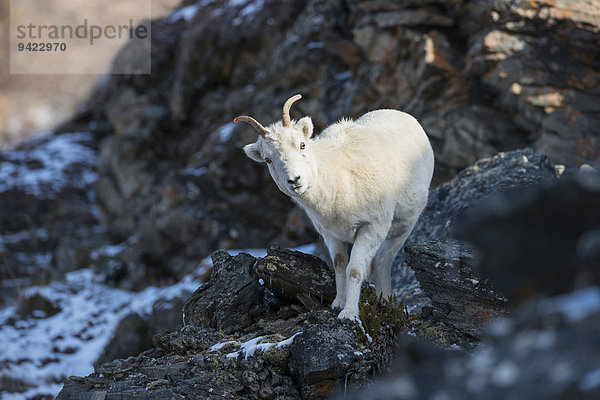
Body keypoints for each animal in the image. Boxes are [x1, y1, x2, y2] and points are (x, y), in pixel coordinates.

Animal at [233, 94, 432, 322]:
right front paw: (338, 304)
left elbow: (354, 270)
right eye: (268, 159)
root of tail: (400, 114)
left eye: (302, 145)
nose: (295, 180)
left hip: (401, 228)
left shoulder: (371, 227)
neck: (338, 182)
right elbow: (339, 265)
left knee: (383, 261)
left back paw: (385, 300)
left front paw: (349, 314)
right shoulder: (331, 234)